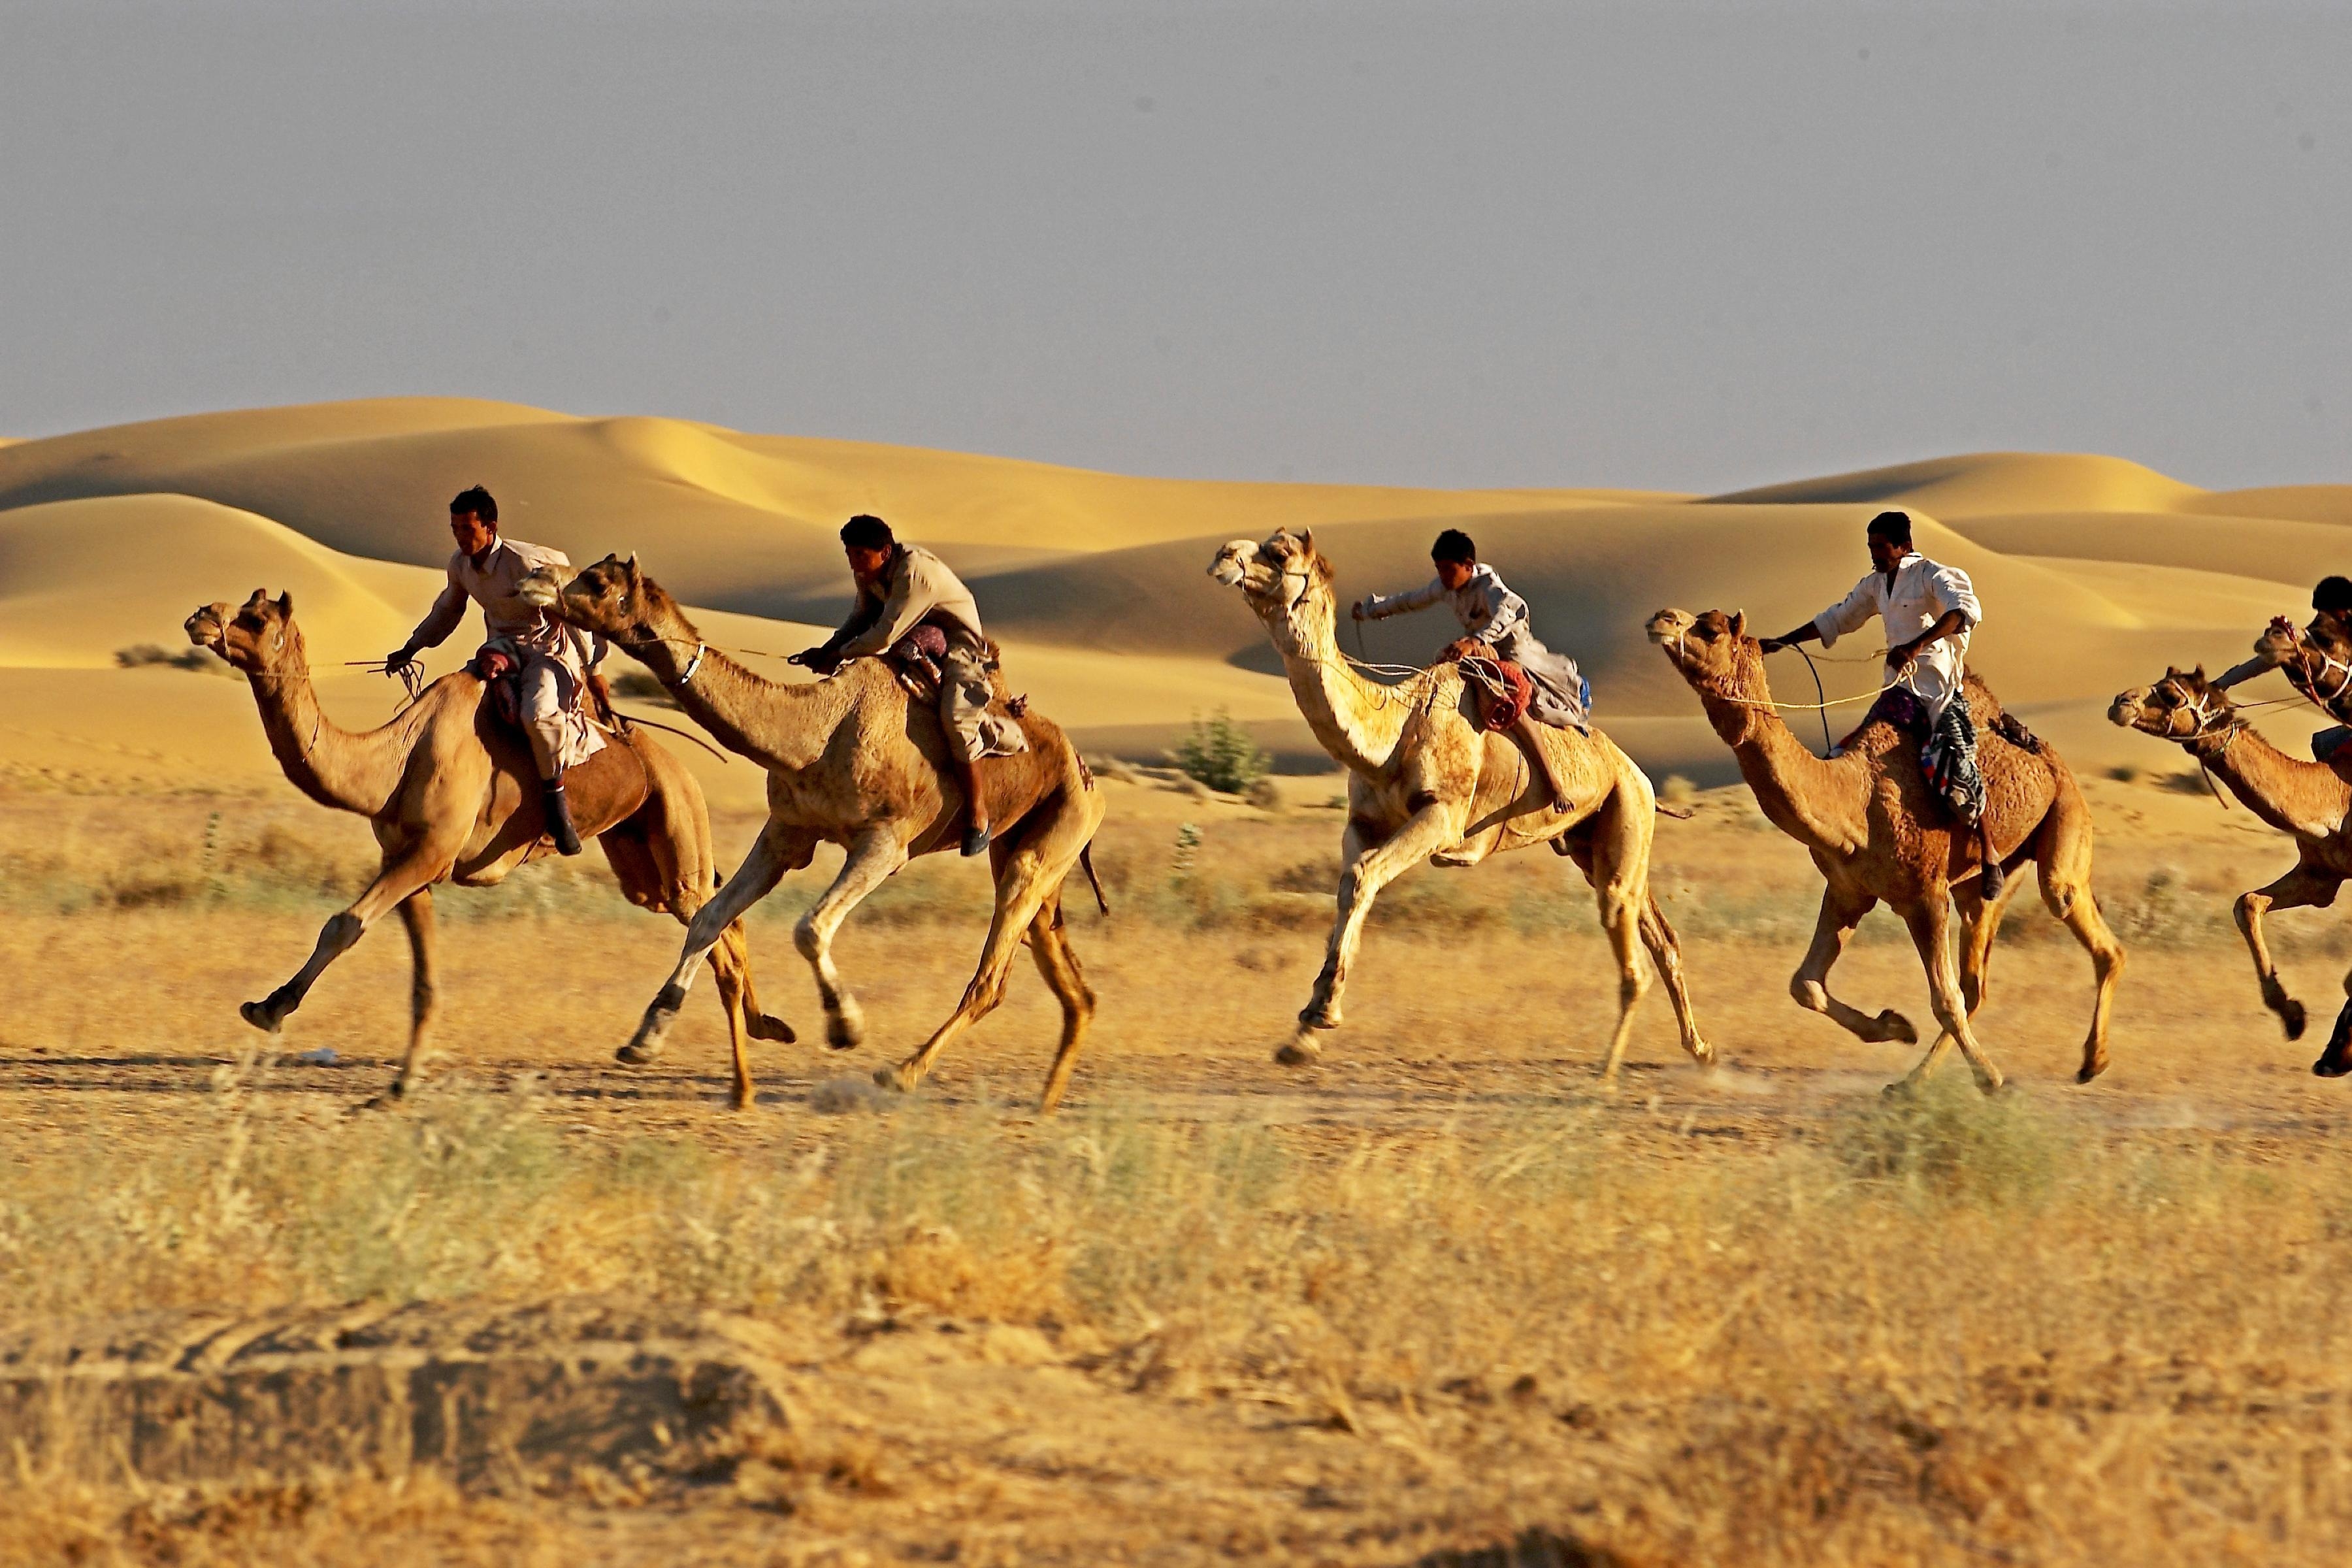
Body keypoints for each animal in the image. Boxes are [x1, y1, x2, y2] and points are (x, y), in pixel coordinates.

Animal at [183, 585, 790, 1105]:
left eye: (256, 619)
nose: (200, 616)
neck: (394, 760)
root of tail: (678, 768)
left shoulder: (430, 852)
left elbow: (343, 924)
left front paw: (271, 1008)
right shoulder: (409, 862)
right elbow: (423, 980)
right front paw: (401, 1085)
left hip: (678, 822)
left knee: (713, 928)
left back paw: (714, 1074)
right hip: (640, 865)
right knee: (720, 918)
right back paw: (762, 1038)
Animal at [553, 557, 1110, 1109]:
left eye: (597, 582)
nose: (547, 587)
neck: (816, 735)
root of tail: (1087, 775)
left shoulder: (886, 843)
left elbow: (809, 927)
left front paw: (845, 1026)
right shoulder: (787, 831)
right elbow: (708, 919)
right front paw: (646, 1037)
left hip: (1053, 831)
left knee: (992, 977)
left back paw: (901, 1074)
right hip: (1029, 853)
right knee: (1069, 980)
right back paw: (1045, 1102)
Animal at [1213, 526, 1712, 1081]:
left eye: (1278, 553)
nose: (1224, 556)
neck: (1394, 731)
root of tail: (1639, 776)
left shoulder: (1441, 816)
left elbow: (1365, 876)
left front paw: (1320, 1015)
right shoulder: (1362, 822)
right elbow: (1349, 886)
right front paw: (1302, 1036)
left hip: (1627, 811)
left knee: (1628, 935)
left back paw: (1607, 1071)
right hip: (1592, 843)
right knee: (1660, 935)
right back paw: (1700, 1050)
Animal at [1646, 606, 2126, 1100]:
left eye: (1710, 629)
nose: (1661, 619)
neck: (1853, 799)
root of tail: (2050, 756)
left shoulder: (1925, 894)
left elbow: (1944, 999)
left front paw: (1992, 1078)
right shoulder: (1848, 890)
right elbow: (1806, 985)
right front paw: (1896, 1026)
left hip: (2065, 813)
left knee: (2075, 914)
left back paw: (2091, 1062)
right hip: (1987, 880)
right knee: (1977, 982)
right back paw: (1914, 1080)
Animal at [2107, 662, 2352, 1081]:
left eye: (2169, 695)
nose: (2120, 702)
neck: (2331, 800)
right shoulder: (2320, 875)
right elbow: (2247, 903)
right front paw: (2293, 1017)